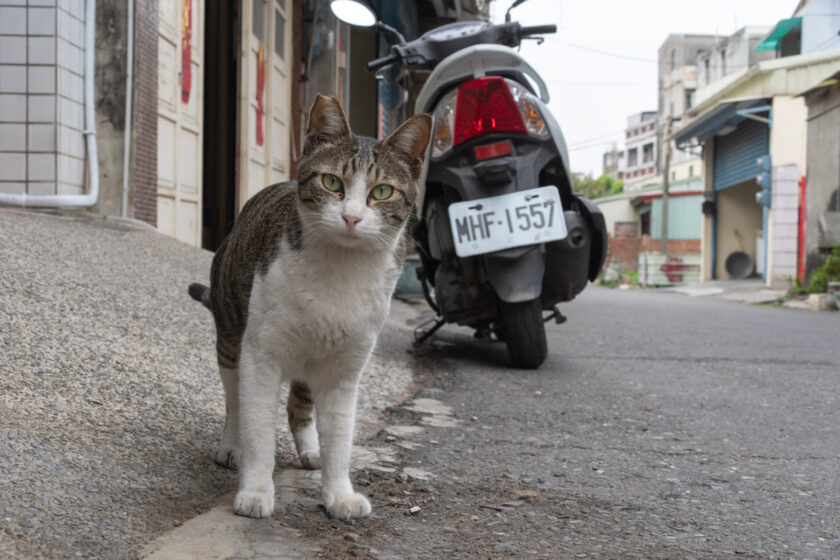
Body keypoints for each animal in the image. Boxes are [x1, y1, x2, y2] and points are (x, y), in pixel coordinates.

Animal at [188, 94, 430, 520]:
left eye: (382, 191)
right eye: (332, 182)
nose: (351, 217)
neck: (341, 270)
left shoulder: (344, 370)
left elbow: (340, 437)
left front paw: (338, 493)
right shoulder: (261, 354)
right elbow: (257, 427)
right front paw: (256, 490)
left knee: (298, 405)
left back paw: (310, 450)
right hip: (231, 334)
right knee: (235, 399)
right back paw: (231, 446)